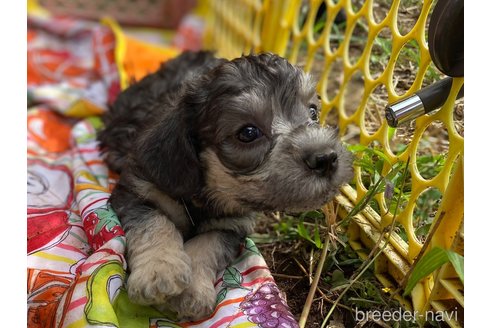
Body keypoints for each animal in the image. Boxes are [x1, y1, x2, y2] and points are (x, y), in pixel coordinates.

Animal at [97, 51, 354, 320]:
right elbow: (156, 223)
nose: (326, 158)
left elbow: (207, 244)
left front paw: (191, 292)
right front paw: (159, 272)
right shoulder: (135, 191)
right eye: (248, 132)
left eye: (313, 112)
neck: (205, 194)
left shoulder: (231, 225)